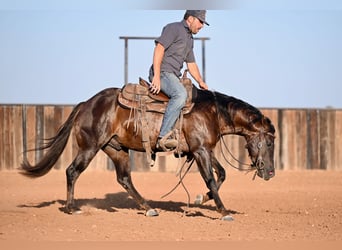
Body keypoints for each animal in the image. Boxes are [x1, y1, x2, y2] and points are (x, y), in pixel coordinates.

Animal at [20, 84, 276, 221]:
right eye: (270, 142)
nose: (271, 173)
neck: (212, 112)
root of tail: (86, 103)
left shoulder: (203, 149)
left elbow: (221, 174)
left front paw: (200, 199)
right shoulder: (201, 151)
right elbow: (212, 179)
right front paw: (223, 212)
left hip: (117, 149)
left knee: (124, 178)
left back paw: (149, 208)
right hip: (90, 147)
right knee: (72, 171)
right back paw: (72, 208)